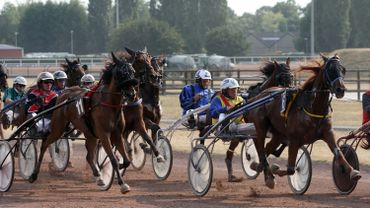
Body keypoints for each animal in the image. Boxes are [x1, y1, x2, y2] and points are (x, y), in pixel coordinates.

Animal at [28, 52, 139, 193]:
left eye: (133, 72)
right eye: (120, 73)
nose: (131, 94)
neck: (110, 104)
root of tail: (64, 93)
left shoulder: (117, 134)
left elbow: (126, 161)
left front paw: (114, 170)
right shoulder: (103, 135)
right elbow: (113, 159)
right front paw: (122, 184)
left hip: (90, 134)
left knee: (89, 156)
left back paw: (99, 177)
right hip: (58, 128)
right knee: (45, 144)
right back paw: (33, 175)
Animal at [247, 53, 360, 188]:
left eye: (343, 70)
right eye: (330, 70)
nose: (340, 89)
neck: (313, 108)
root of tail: (259, 95)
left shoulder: (328, 133)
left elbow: (338, 153)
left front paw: (353, 172)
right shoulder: (294, 139)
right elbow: (291, 169)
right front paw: (275, 170)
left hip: (278, 133)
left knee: (266, 149)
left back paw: (262, 169)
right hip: (261, 127)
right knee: (260, 148)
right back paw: (264, 171)